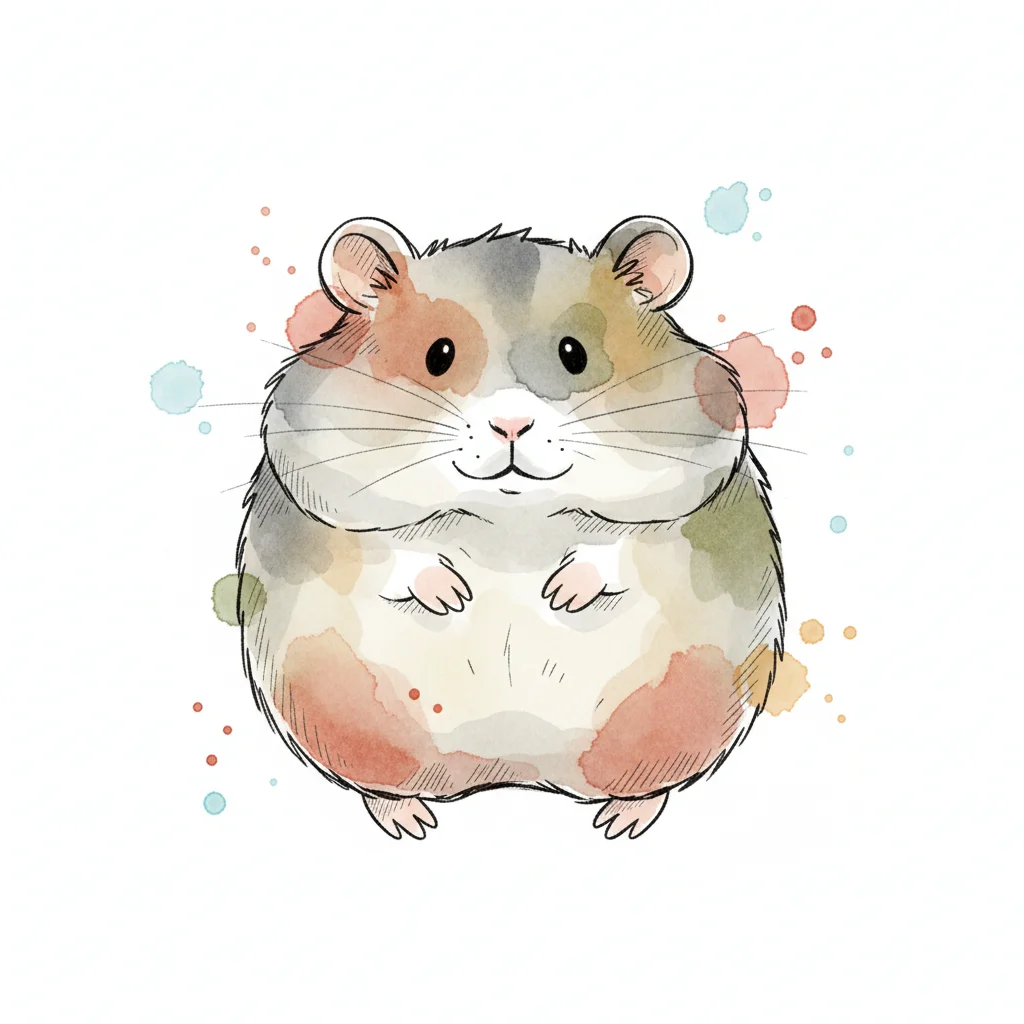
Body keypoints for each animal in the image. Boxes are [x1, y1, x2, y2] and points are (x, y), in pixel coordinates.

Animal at [235, 215, 786, 840]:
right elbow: (390, 546)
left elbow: (621, 539)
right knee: (379, 781)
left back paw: (621, 820)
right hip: (334, 701)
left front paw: (561, 593)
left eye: (575, 354)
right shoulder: (312, 466)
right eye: (438, 355)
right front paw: (452, 595)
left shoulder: (701, 466)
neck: (512, 516)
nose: (511, 425)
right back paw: (410, 820)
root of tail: (515, 767)